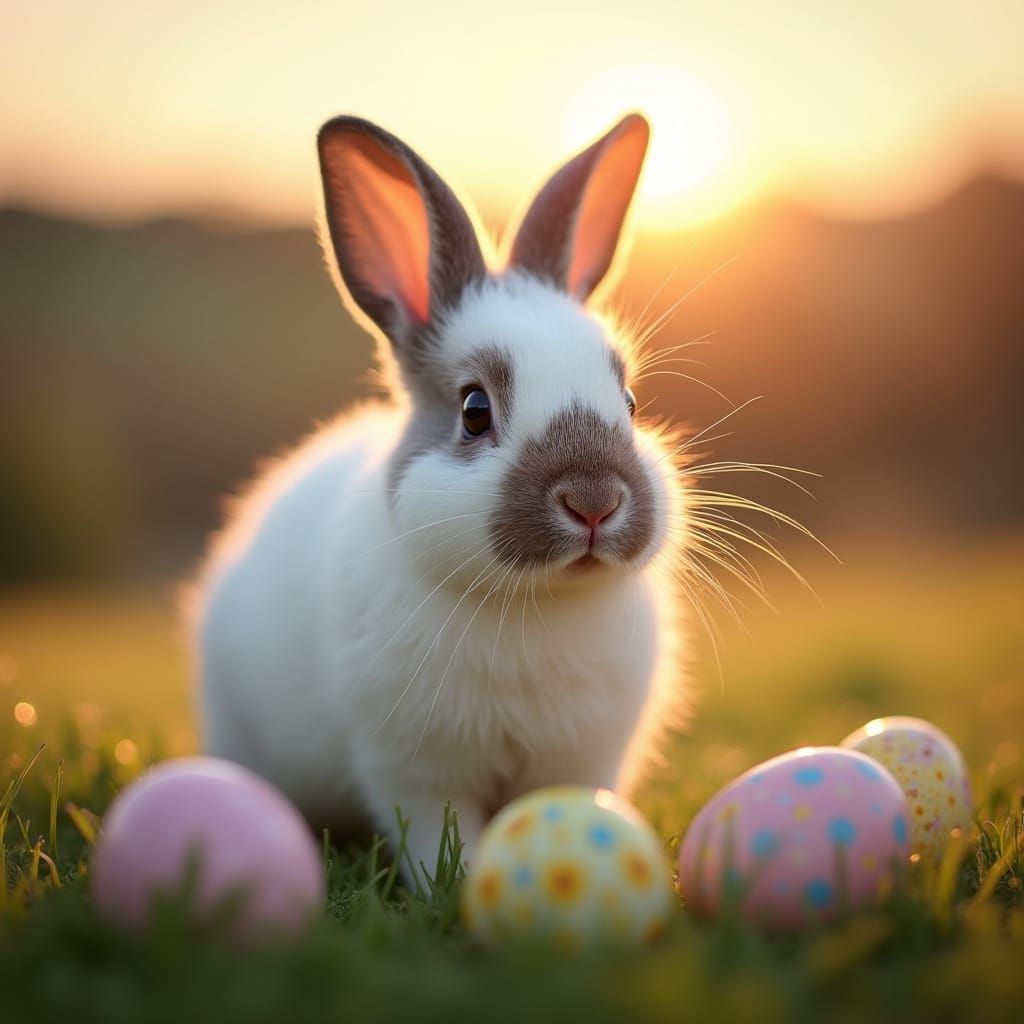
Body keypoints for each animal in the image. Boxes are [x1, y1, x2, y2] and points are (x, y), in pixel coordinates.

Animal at [192, 112, 690, 878]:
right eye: (474, 410)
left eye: (631, 403)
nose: (594, 501)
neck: (534, 604)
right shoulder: (415, 770)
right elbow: (435, 831)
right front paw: (448, 884)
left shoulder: (582, 757)